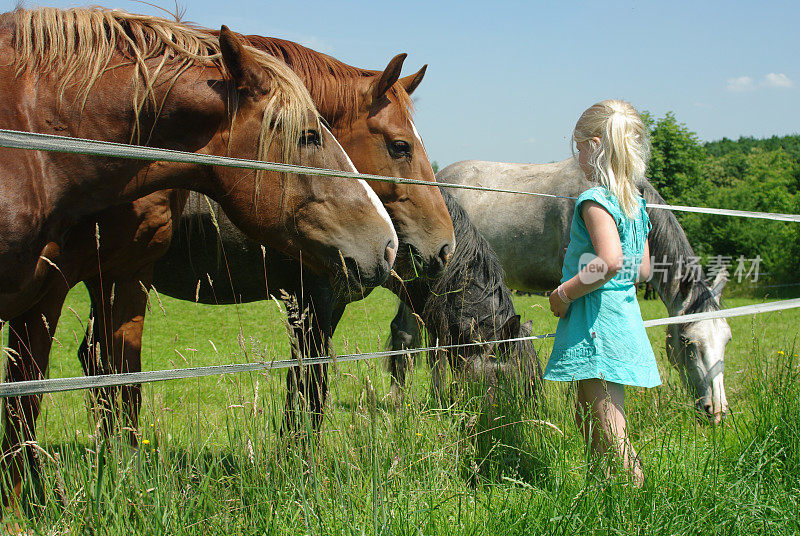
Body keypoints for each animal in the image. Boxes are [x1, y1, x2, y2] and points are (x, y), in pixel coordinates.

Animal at [75, 28, 456, 436]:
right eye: (400, 146)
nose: (443, 247)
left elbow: (301, 386)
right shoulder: (315, 301)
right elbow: (311, 388)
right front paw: (299, 451)